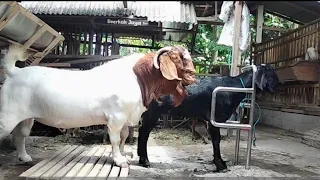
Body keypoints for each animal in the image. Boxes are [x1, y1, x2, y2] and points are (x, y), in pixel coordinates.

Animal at [0, 44, 196, 167]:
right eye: (178, 58)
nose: (194, 74)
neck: (139, 78)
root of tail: (15, 72)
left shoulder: (125, 118)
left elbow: (124, 137)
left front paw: (123, 155)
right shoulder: (116, 118)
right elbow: (115, 139)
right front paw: (119, 161)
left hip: (26, 117)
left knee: (20, 135)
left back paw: (24, 157)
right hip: (8, 114)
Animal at [136, 64, 278, 172]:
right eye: (271, 75)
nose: (278, 87)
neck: (235, 87)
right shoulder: (215, 119)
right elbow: (216, 140)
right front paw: (220, 165)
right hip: (153, 112)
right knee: (144, 133)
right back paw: (145, 161)